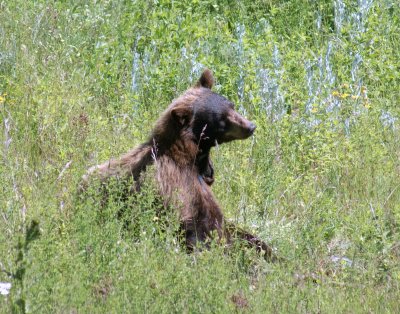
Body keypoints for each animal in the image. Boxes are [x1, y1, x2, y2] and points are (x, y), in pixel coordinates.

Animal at [83, 70, 276, 262]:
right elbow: (200, 230)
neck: (190, 160)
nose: (251, 126)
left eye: (232, 105)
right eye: (221, 120)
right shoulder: (176, 188)